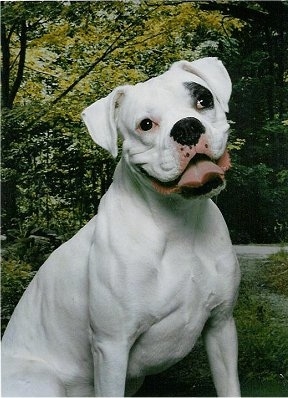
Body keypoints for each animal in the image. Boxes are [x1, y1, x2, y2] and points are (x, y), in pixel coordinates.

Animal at [1, 57, 241, 396]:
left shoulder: (221, 327)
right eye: (145, 125)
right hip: (44, 381)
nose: (186, 127)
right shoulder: (112, 348)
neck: (177, 224)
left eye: (203, 99)